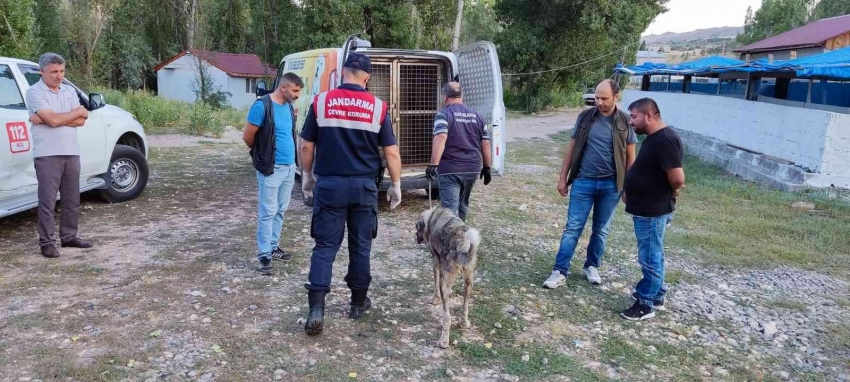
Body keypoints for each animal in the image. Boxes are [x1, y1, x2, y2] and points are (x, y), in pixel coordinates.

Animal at [414, 207, 480, 348]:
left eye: (417, 229)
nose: (417, 239)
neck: (432, 217)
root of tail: (461, 242)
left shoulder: (436, 263)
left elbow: (435, 286)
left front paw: (435, 299)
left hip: (444, 283)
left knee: (447, 318)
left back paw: (443, 341)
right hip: (469, 281)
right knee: (465, 307)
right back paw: (464, 323)